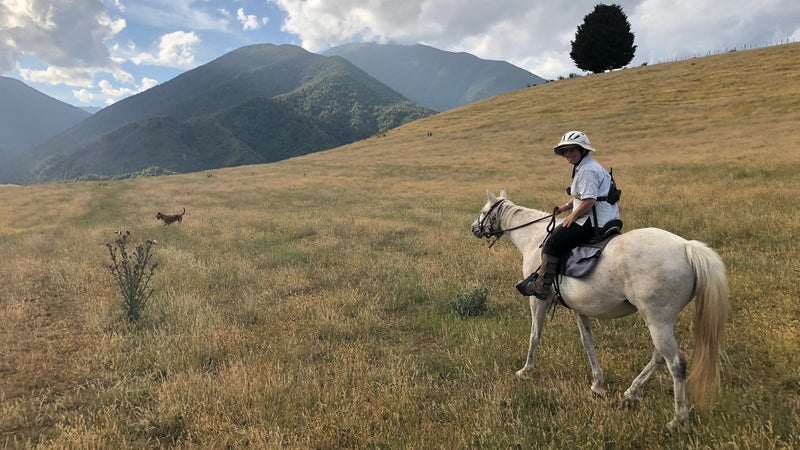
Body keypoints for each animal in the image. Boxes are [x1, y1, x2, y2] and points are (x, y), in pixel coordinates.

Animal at [472, 190, 728, 428]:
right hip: (661, 321)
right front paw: (597, 384)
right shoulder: (578, 307)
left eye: (484, 211)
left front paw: (525, 371)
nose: (474, 228)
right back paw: (632, 391)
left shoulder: (539, 299)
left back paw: (678, 420)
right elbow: (588, 342)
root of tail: (686, 246)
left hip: (657, 321)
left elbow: (535, 335)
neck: (534, 237)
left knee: (675, 363)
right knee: (659, 356)